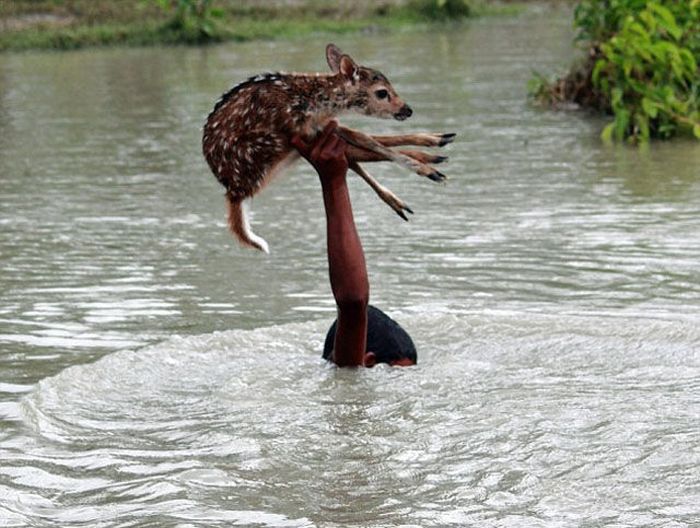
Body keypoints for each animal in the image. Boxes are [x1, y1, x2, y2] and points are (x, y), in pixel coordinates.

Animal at [202, 43, 454, 254]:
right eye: (382, 92)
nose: (407, 110)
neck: (318, 102)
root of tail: (233, 192)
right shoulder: (302, 128)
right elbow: (367, 140)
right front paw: (428, 168)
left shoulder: (321, 126)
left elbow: (365, 138)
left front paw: (432, 146)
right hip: (270, 146)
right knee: (356, 151)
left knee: (354, 152)